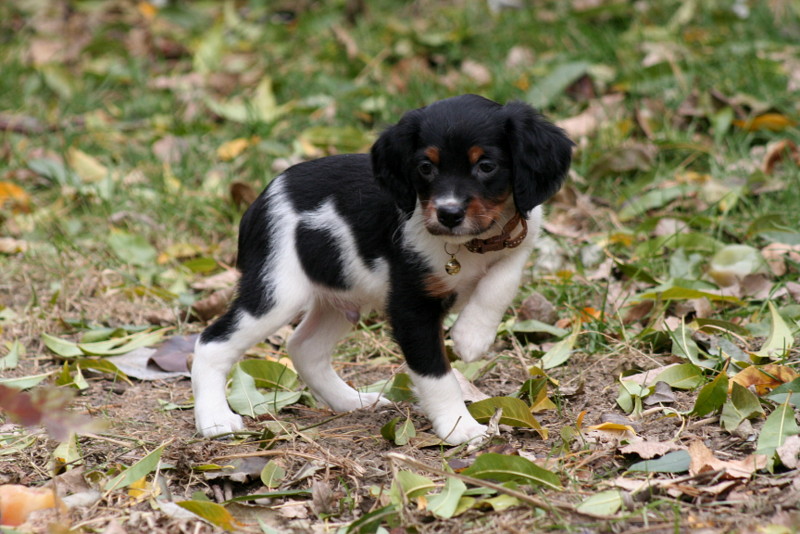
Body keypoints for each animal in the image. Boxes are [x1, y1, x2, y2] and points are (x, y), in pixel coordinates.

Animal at [191, 94, 572, 446]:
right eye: (425, 168)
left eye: (487, 166)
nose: (448, 214)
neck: (472, 243)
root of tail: (259, 201)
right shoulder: (410, 307)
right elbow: (437, 375)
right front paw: (459, 427)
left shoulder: (520, 242)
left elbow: (501, 281)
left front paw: (472, 336)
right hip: (277, 292)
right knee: (212, 343)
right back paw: (215, 420)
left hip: (339, 296)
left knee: (304, 347)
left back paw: (351, 401)